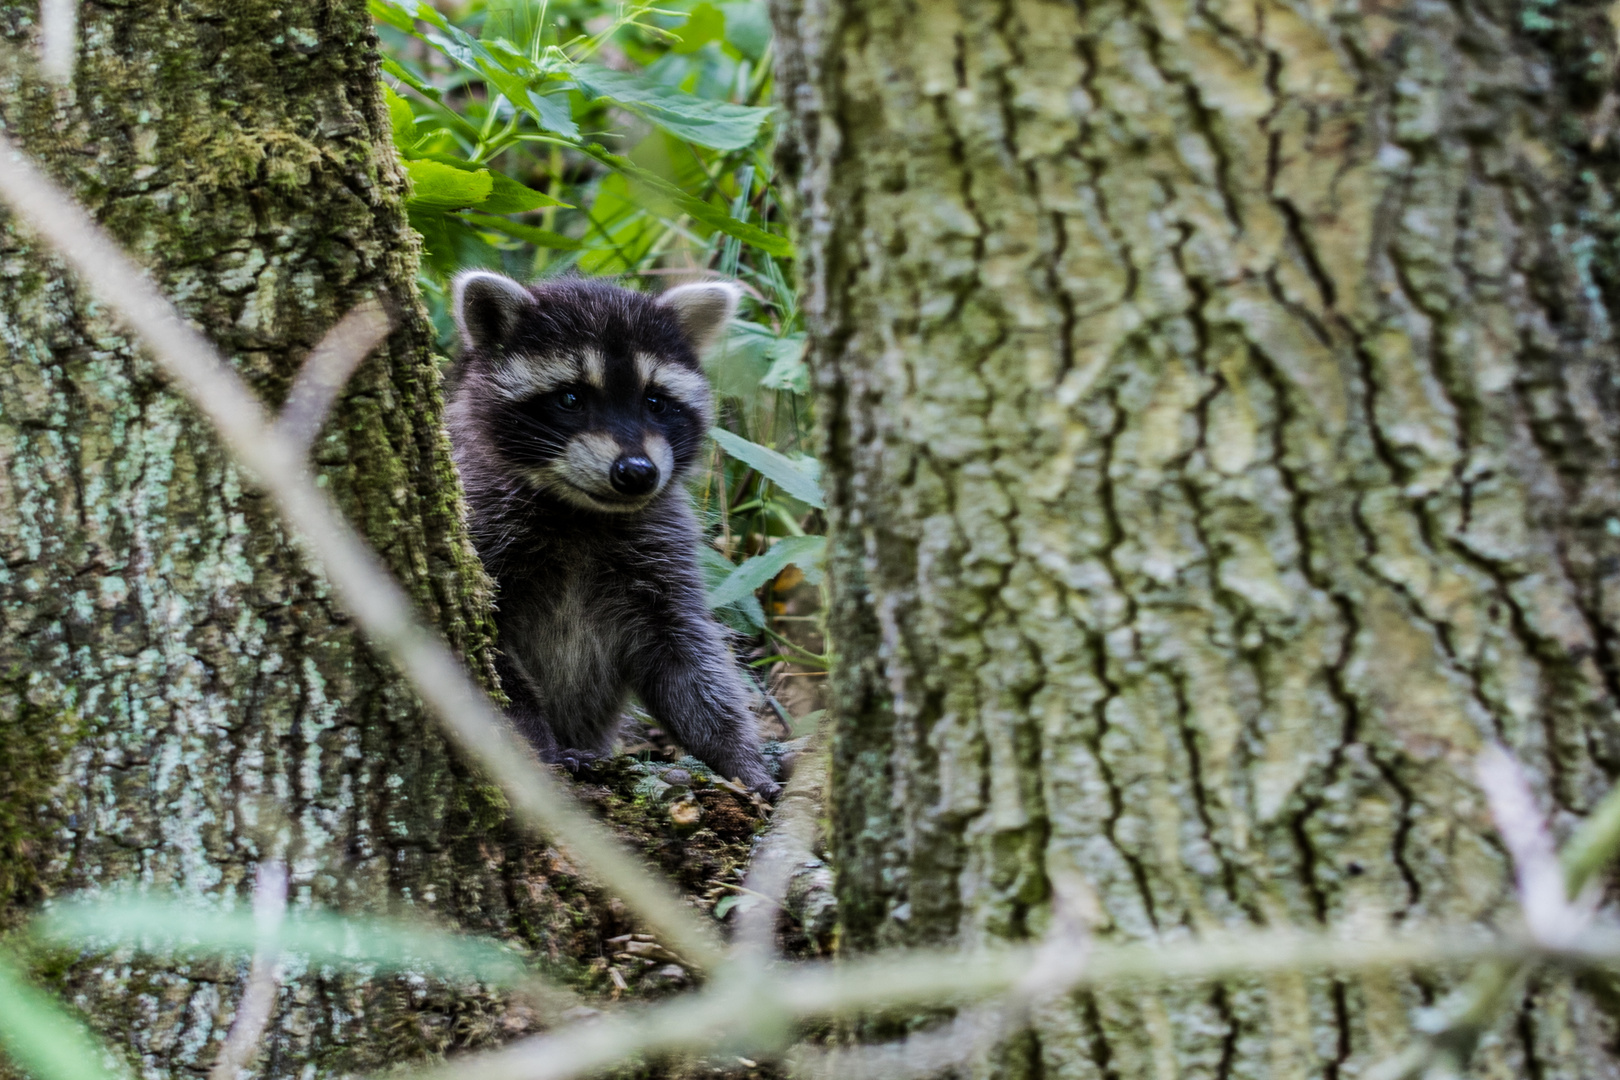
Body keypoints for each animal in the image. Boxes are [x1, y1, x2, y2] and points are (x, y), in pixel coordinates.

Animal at [440, 275, 774, 799]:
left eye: (655, 401)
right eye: (571, 399)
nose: (637, 472)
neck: (582, 512)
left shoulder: (661, 547)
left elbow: (689, 657)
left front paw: (736, 755)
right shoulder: (481, 526)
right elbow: (491, 659)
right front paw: (534, 743)